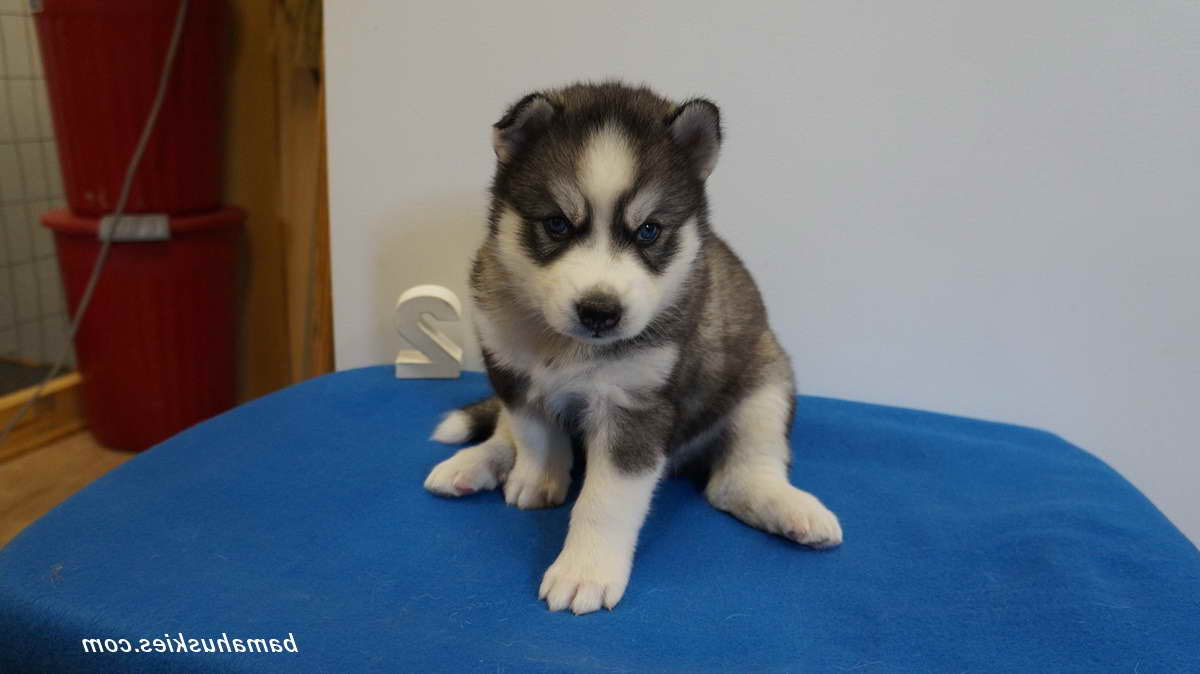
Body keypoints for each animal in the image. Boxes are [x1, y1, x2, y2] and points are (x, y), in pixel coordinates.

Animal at [427, 81, 840, 611]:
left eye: (649, 230)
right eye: (557, 224)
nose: (600, 311)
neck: (565, 346)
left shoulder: (635, 404)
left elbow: (605, 501)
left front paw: (585, 570)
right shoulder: (510, 370)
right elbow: (532, 433)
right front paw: (538, 478)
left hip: (766, 385)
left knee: (736, 478)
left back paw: (791, 509)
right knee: (502, 431)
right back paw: (474, 464)